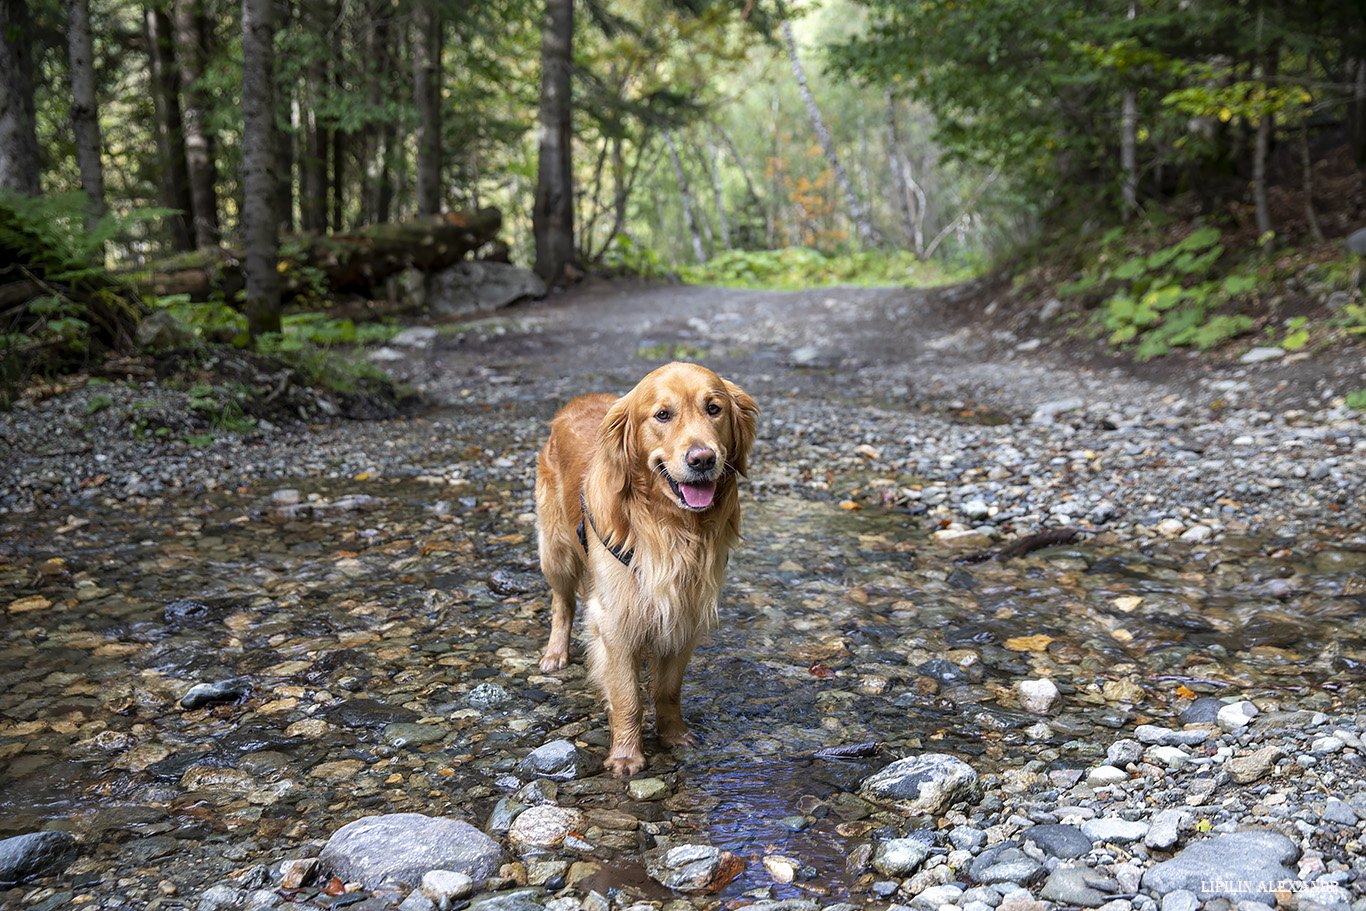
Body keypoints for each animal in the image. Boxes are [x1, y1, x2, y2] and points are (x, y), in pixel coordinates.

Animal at [535, 360, 759, 775]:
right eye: (662, 415)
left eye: (714, 408)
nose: (703, 459)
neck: (671, 526)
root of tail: (578, 400)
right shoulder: (617, 618)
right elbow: (627, 696)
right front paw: (626, 754)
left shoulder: (684, 614)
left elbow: (667, 690)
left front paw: (673, 736)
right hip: (555, 550)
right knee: (562, 602)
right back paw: (555, 653)